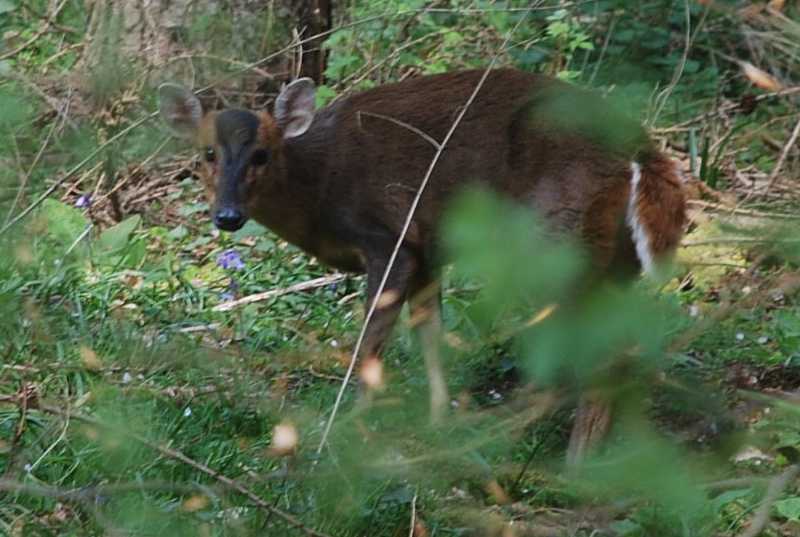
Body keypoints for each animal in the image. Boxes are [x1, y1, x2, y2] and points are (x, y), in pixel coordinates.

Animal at [159, 69, 684, 462]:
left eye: (262, 154)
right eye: (208, 153)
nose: (227, 216)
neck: (320, 193)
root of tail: (639, 145)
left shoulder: (389, 241)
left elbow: (371, 340)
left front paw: (350, 424)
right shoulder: (428, 251)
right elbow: (430, 334)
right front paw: (437, 419)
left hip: (553, 241)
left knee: (605, 350)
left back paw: (571, 463)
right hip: (613, 260)